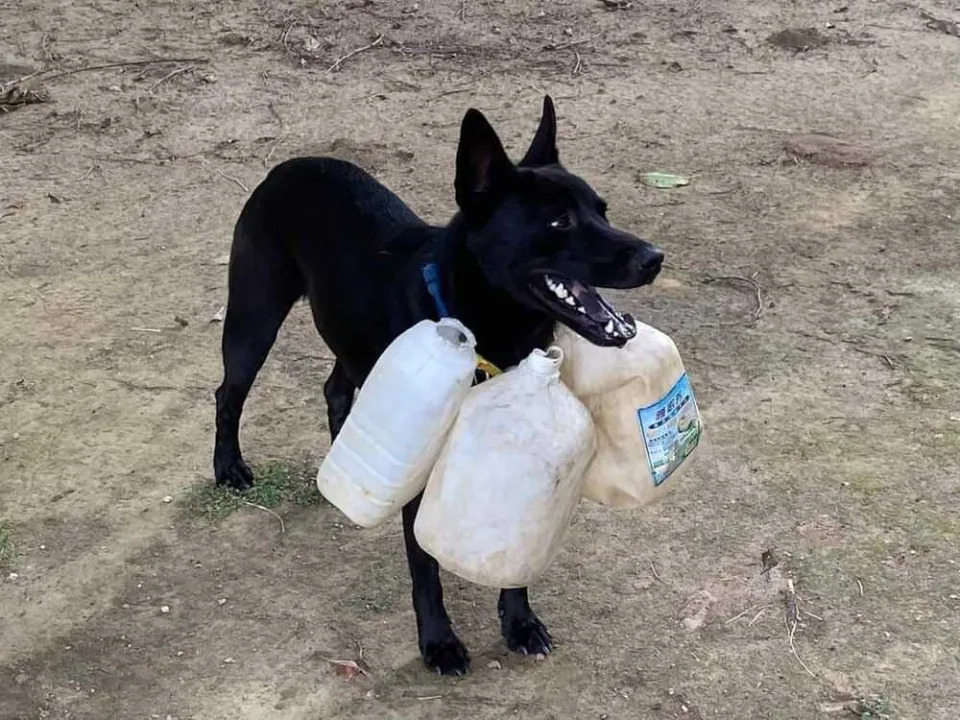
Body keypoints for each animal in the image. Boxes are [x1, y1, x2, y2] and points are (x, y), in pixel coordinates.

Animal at [212, 95, 660, 676]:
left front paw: (519, 622)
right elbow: (425, 569)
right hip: (254, 319)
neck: (485, 332)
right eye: (558, 220)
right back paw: (228, 466)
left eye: (602, 210)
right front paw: (439, 642)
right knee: (228, 395)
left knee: (335, 389)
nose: (654, 258)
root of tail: (289, 165)